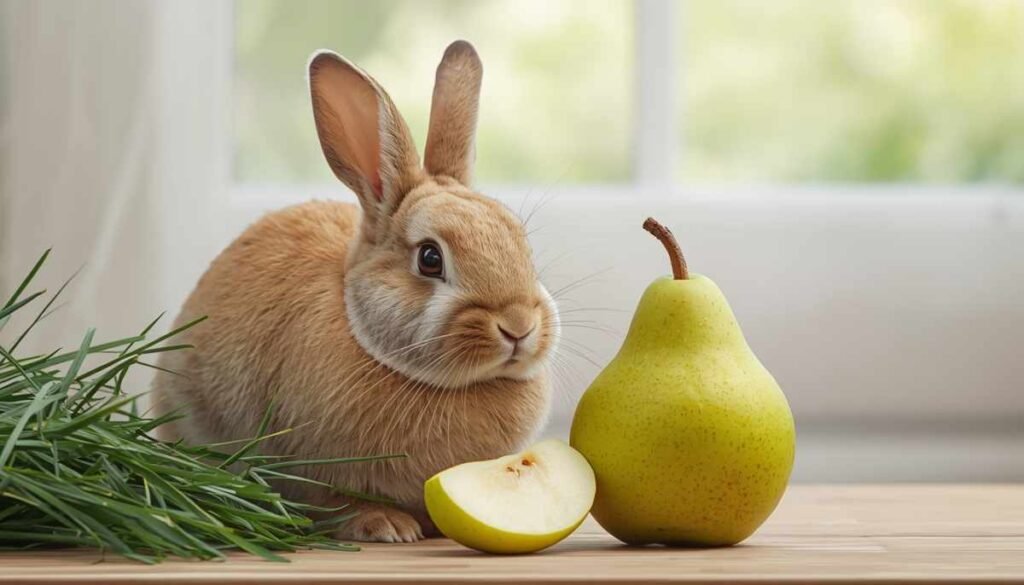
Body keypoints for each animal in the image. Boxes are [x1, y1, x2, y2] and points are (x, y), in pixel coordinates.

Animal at [151, 40, 559, 543]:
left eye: (522, 242)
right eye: (430, 258)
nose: (519, 325)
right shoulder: (308, 468)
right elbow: (334, 504)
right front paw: (387, 525)